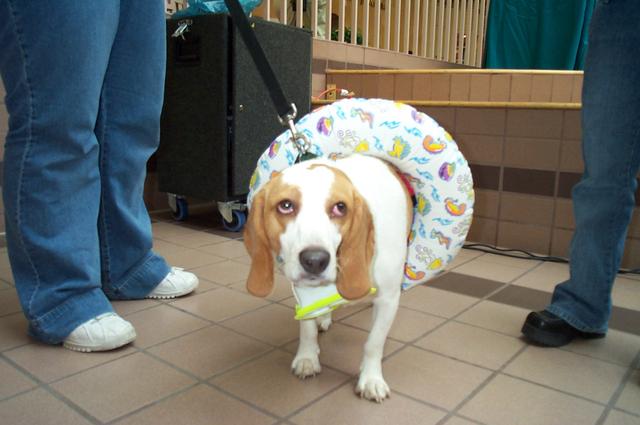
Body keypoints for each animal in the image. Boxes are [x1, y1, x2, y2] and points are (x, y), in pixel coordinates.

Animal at [243, 154, 412, 402]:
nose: (315, 260)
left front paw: (371, 379)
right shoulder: (301, 292)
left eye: (340, 207)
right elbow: (307, 329)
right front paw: (307, 357)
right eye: (286, 205)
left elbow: (374, 343)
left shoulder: (388, 299)